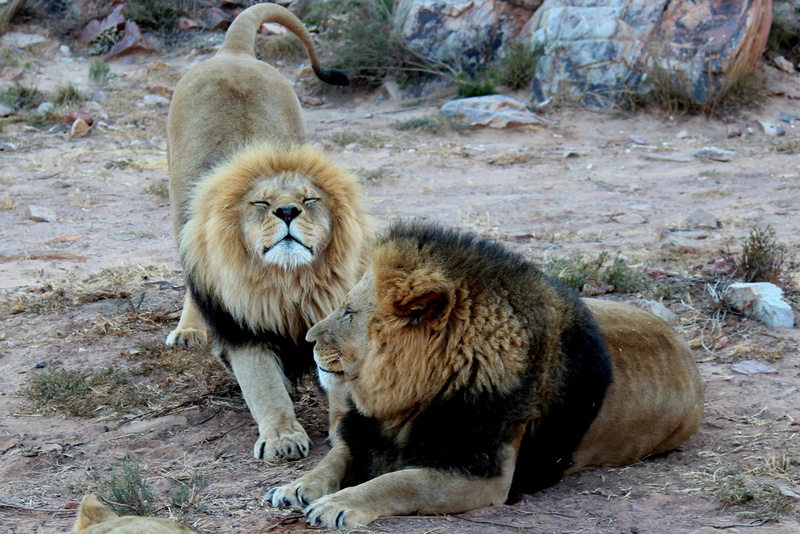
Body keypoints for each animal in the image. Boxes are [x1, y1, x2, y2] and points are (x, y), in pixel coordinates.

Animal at [165, 3, 368, 461]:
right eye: (260, 204)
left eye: (310, 199)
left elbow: (338, 378)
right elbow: (263, 386)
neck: (287, 283)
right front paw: (282, 437)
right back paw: (188, 330)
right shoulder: (242, 330)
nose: (288, 210)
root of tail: (233, 52)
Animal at [267, 221, 705, 527]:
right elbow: (333, 459)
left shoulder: (483, 474)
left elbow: (399, 482)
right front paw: (296, 487)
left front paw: (338, 503)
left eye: (348, 312)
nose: (307, 338)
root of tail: (686, 346)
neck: (403, 402)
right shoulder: (364, 431)